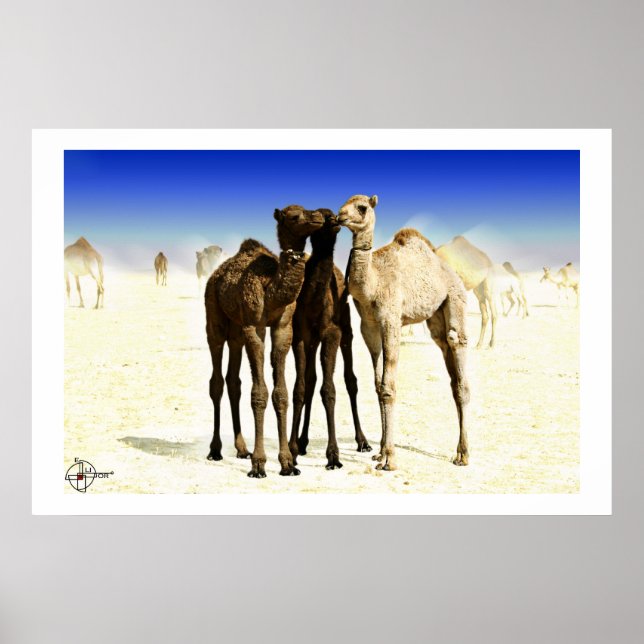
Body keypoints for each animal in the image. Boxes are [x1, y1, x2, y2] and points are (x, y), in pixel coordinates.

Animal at [205, 205, 325, 477]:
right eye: (294, 216)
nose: (319, 217)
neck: (271, 287)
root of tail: (215, 275)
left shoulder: (283, 326)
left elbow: (280, 393)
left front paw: (287, 463)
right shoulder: (254, 325)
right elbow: (259, 393)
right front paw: (259, 464)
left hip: (236, 331)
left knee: (233, 381)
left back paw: (241, 449)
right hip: (214, 315)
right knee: (216, 380)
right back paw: (215, 450)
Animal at [288, 209, 371, 470]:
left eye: (331, 214)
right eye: (318, 217)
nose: (335, 220)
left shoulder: (332, 334)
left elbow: (329, 390)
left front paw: (333, 455)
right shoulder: (301, 336)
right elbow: (301, 388)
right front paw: (292, 449)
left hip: (347, 330)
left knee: (350, 381)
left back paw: (363, 441)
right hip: (313, 342)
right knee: (311, 380)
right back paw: (303, 442)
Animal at [338, 195, 470, 471]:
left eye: (362, 208)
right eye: (343, 204)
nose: (339, 217)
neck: (373, 281)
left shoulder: (391, 318)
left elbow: (388, 386)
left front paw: (389, 458)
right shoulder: (368, 325)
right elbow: (378, 385)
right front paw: (379, 452)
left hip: (455, 297)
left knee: (457, 346)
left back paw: (463, 454)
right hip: (435, 316)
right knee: (446, 352)